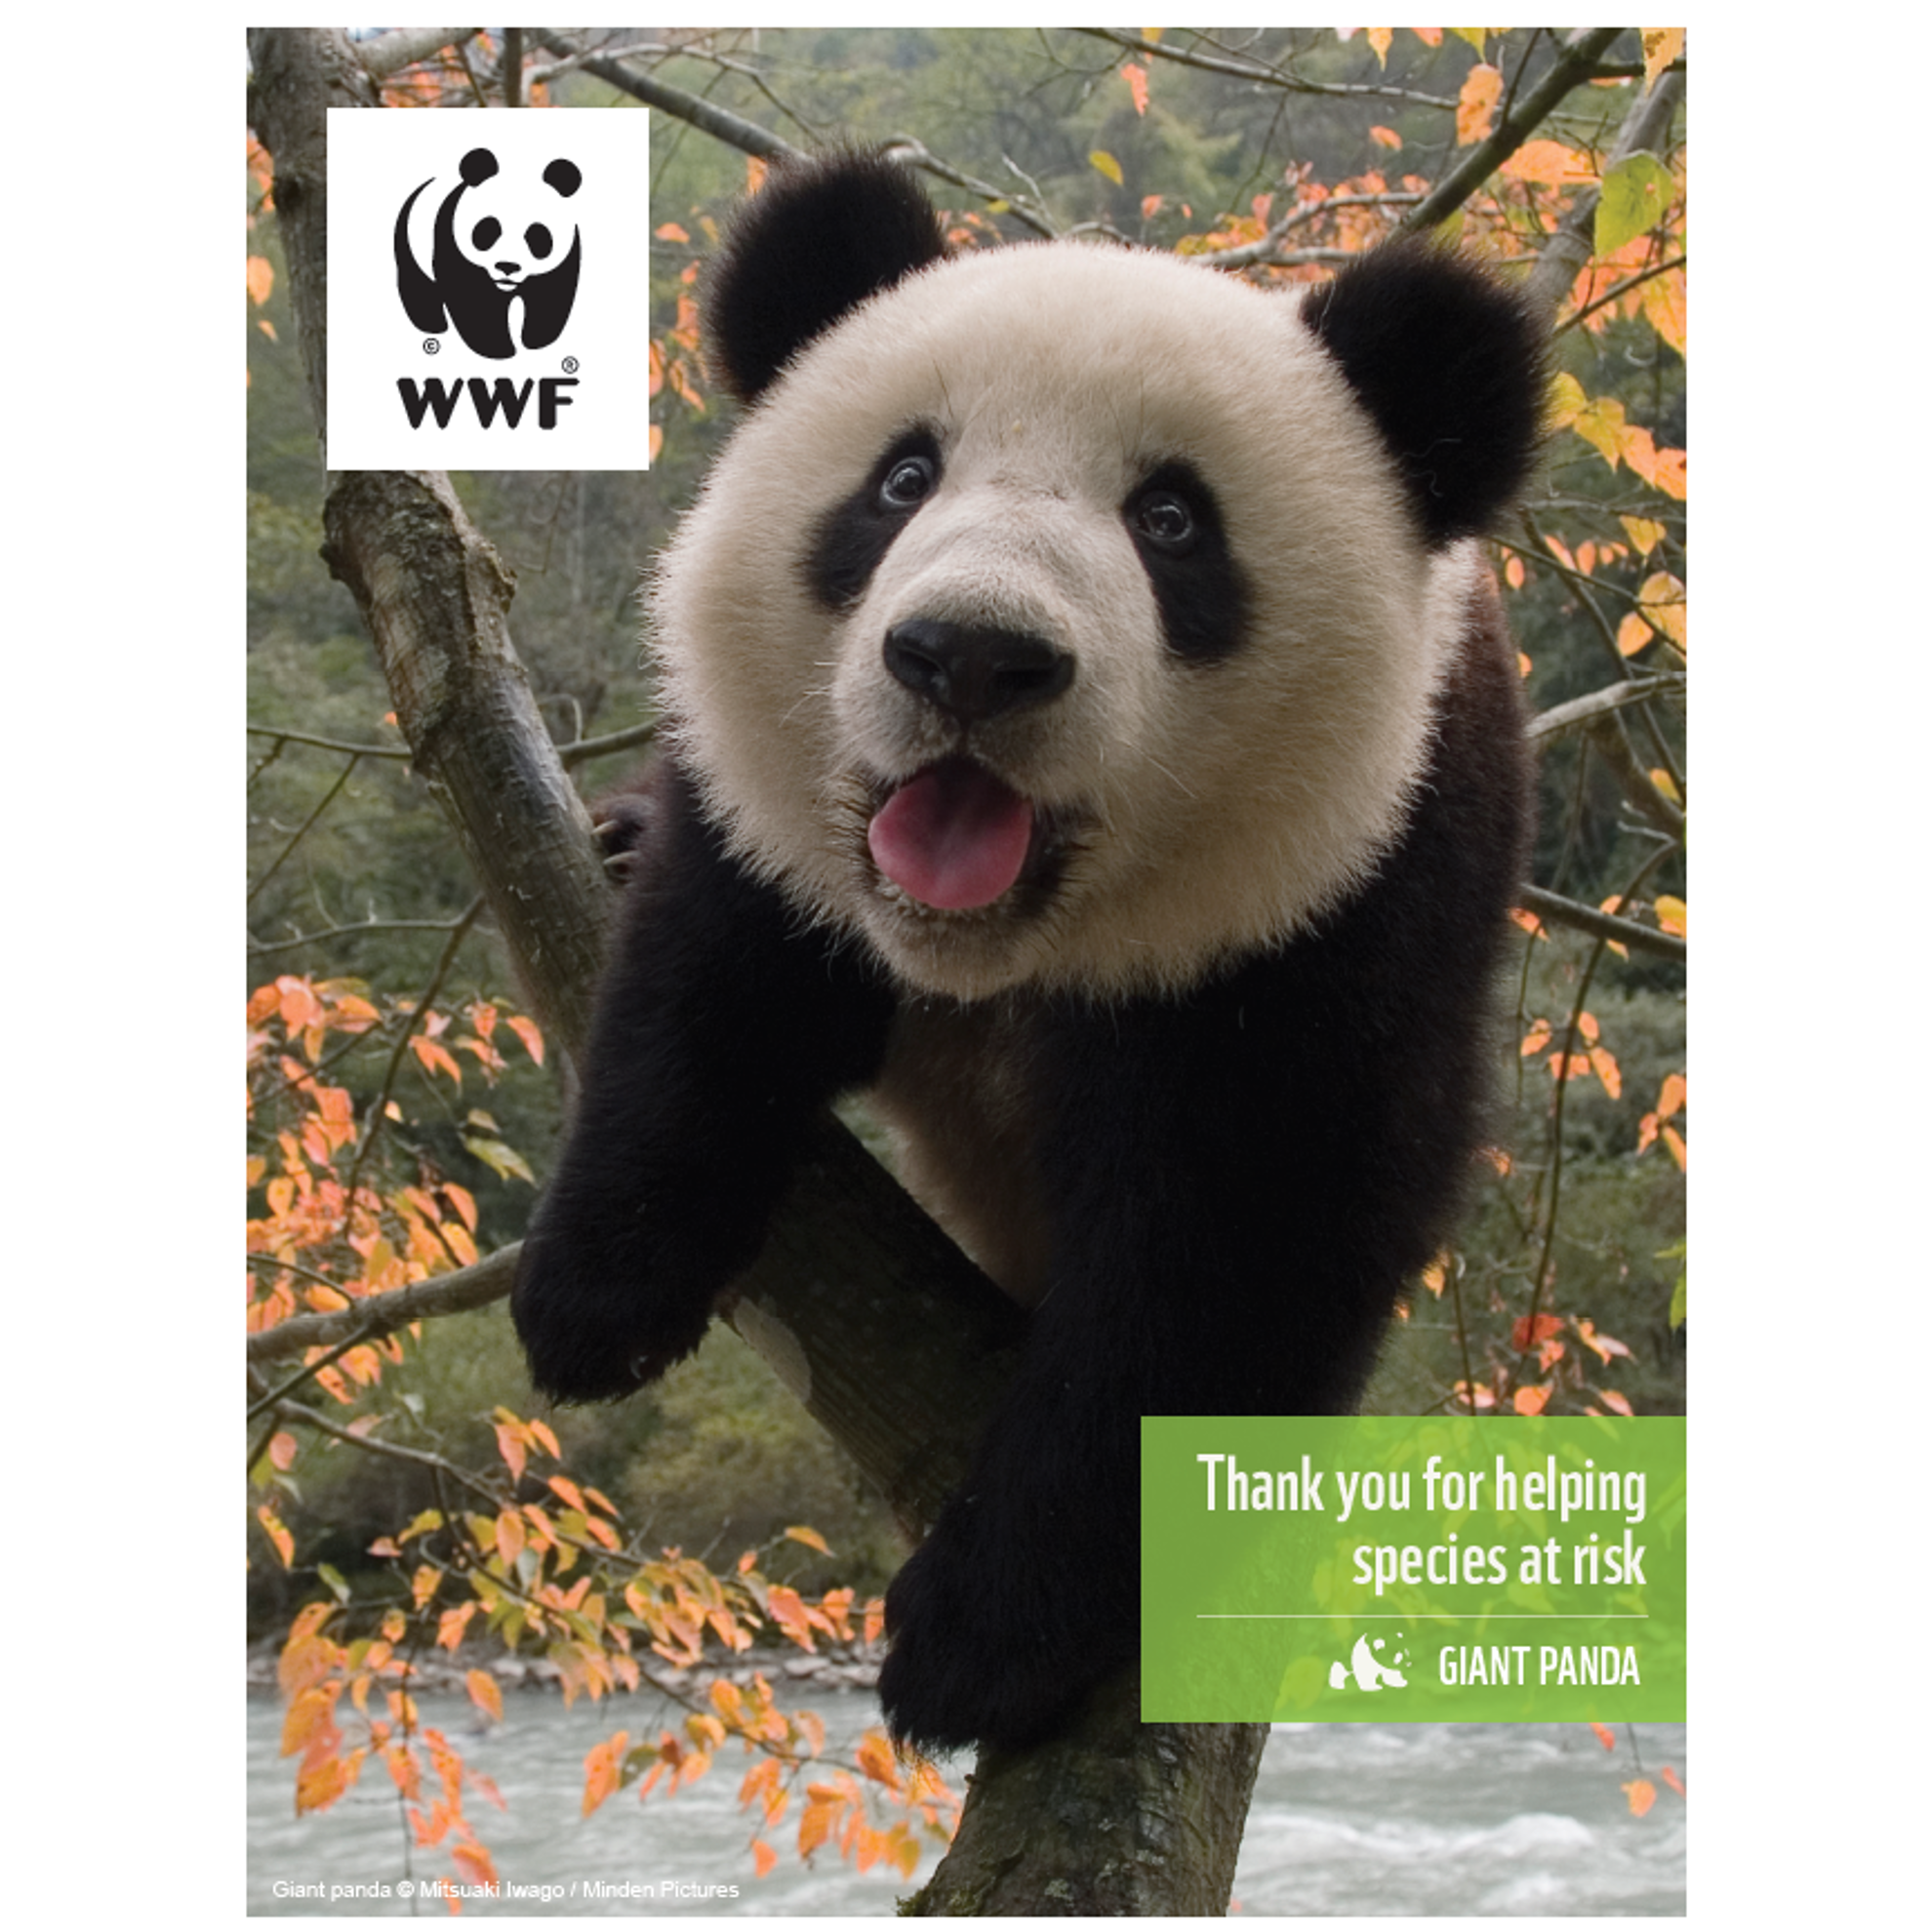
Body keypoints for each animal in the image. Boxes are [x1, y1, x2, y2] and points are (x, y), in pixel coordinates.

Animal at [395, 146, 583, 360]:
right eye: (488, 230)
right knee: (417, 284)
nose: (508, 266)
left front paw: (535, 342)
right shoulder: (453, 245)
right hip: (409, 241)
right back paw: (434, 326)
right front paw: (499, 350)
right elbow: (475, 302)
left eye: (537, 236)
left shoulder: (564, 258)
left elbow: (550, 296)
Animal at [512, 151, 1541, 1753]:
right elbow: (714, 975)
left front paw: (980, 1635)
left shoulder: (1372, 874)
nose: (971, 657)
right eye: (902, 479)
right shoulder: (768, 816)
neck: (1003, 944)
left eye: (1173, 522)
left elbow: (1236, 1237)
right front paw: (598, 1298)